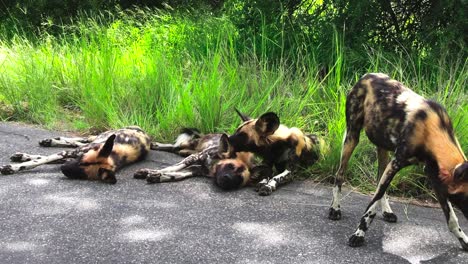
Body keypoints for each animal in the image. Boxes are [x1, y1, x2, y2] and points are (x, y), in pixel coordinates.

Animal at [0, 126, 150, 184]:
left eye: (81, 173)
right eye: (80, 161)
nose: (63, 169)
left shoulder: (69, 158)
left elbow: (42, 160)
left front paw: (18, 163)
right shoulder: (74, 154)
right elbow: (40, 161)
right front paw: (14, 167)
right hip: (96, 139)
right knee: (81, 140)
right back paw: (50, 141)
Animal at [330, 73, 468, 251]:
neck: (433, 132)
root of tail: (367, 75)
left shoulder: (434, 177)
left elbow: (452, 219)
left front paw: (463, 240)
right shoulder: (396, 163)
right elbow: (370, 209)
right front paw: (358, 235)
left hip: (382, 148)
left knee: (379, 180)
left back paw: (387, 212)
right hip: (352, 138)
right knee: (340, 175)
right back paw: (335, 209)